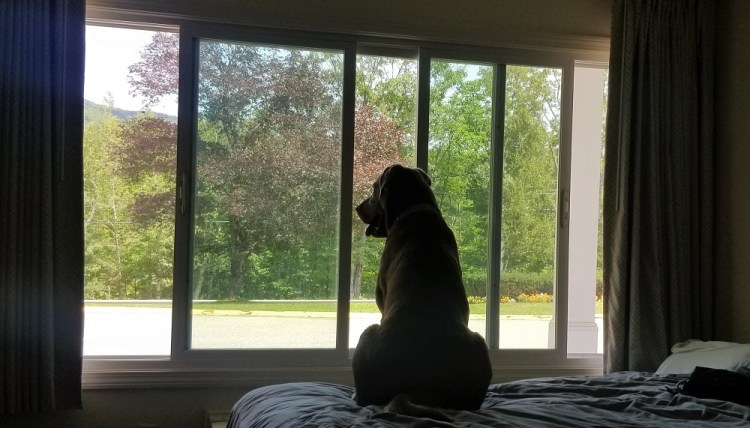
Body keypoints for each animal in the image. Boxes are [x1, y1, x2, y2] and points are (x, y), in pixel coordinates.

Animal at [352, 164, 492, 420]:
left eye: (374, 187)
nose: (358, 207)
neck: (415, 209)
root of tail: (416, 388)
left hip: (368, 331)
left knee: (366, 398)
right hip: (479, 343)